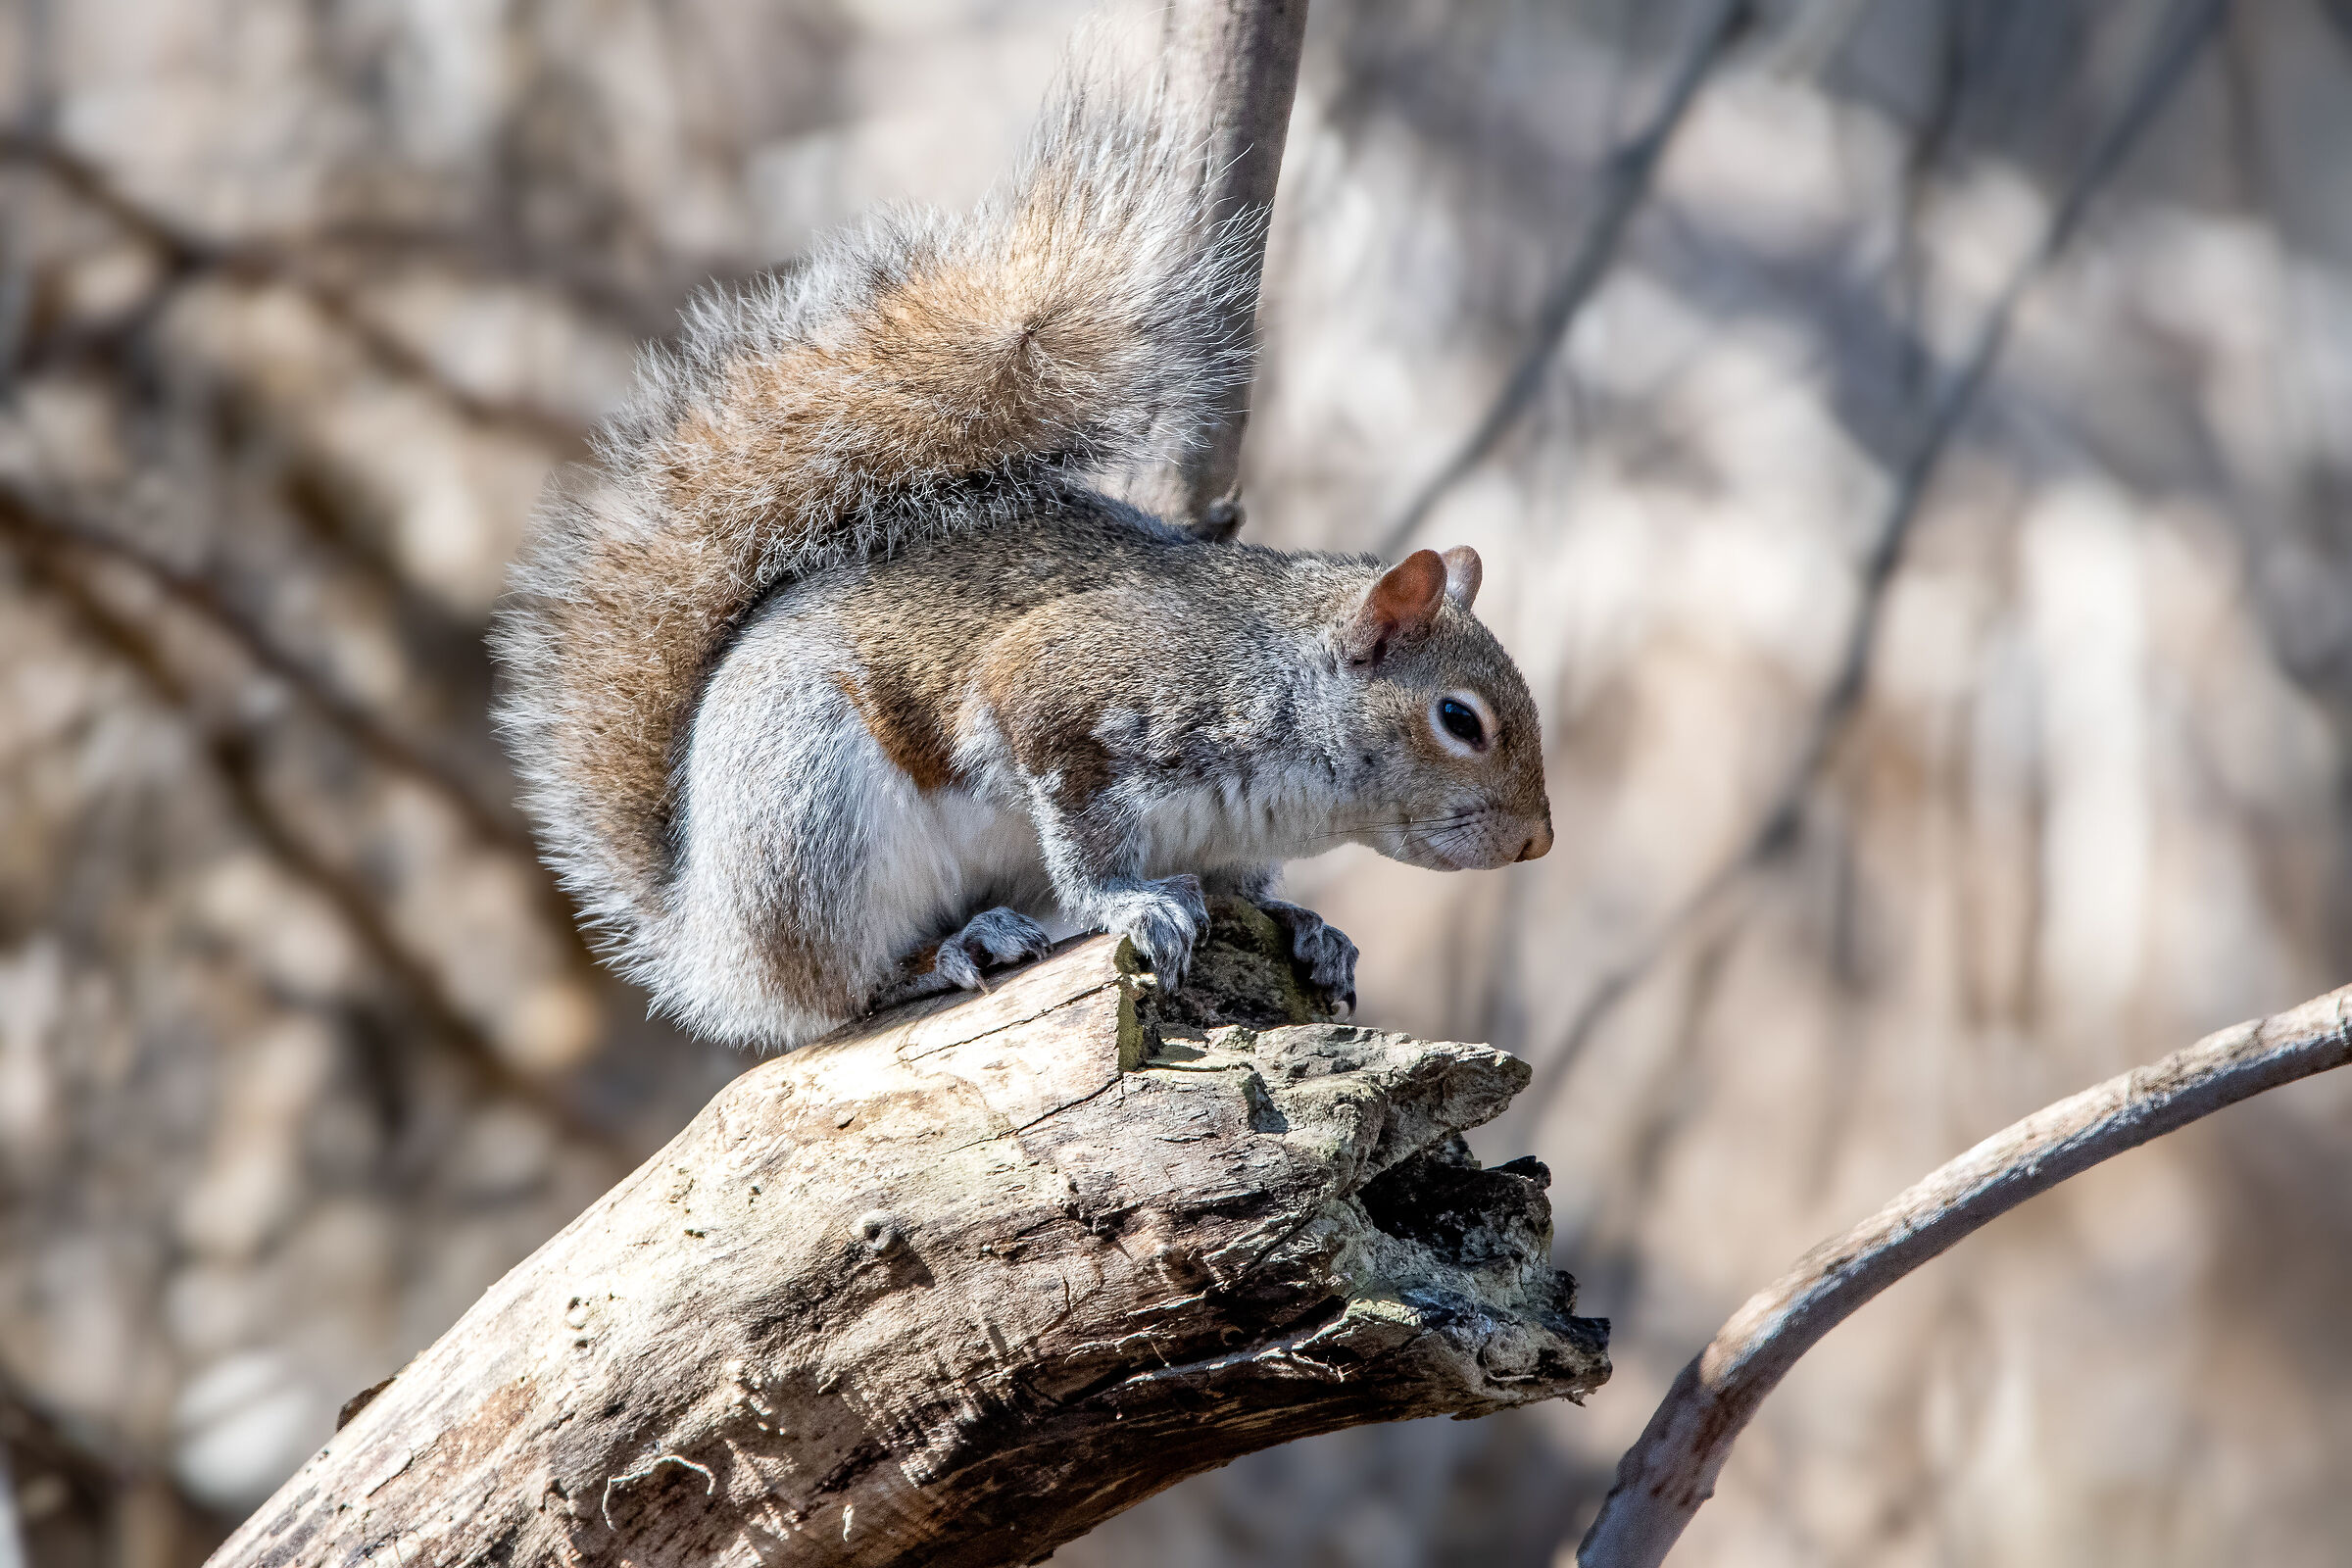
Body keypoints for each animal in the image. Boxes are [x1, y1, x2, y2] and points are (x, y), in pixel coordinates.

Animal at [492, 75, 1554, 1052]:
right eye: (1460, 719)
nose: (1539, 839)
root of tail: (711, 940)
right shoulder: (1075, 686)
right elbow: (1076, 825)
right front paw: (1130, 904)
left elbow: (1250, 889)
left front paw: (1307, 926)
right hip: (811, 819)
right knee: (838, 992)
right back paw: (949, 951)